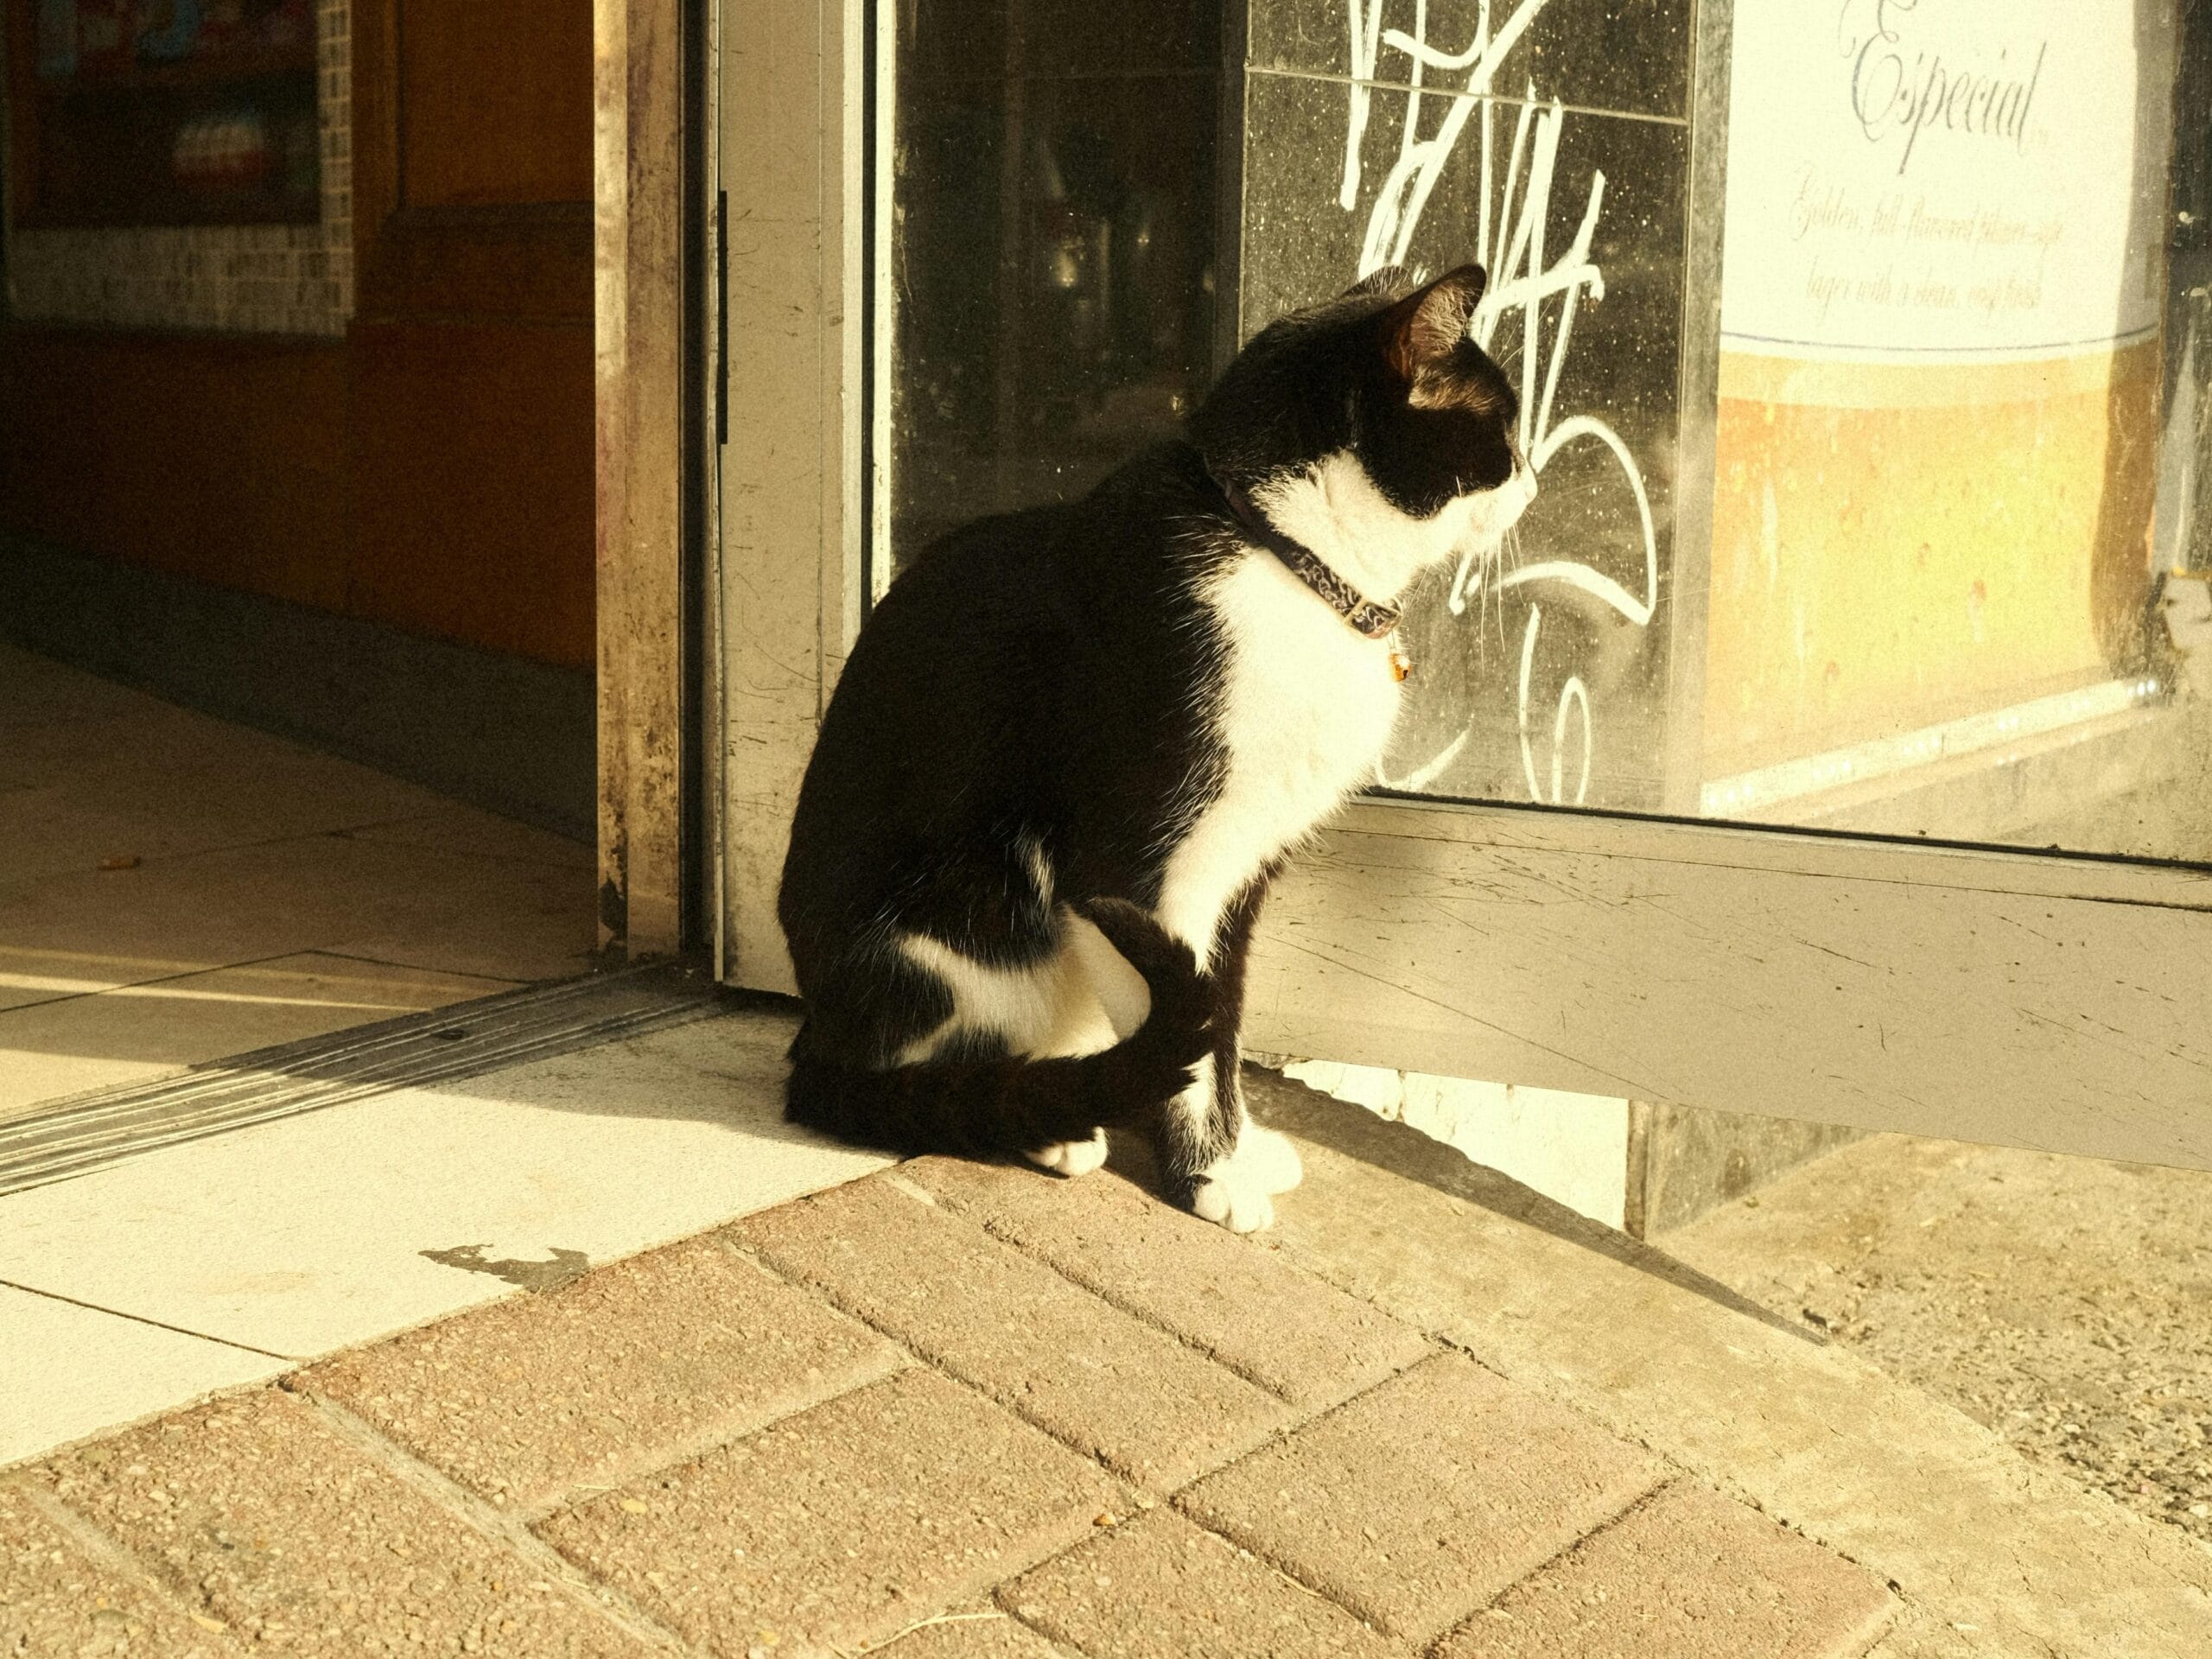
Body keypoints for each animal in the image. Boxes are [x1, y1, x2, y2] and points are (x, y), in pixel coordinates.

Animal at [778, 262, 1535, 1231]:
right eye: (1501, 429)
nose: (1533, 478)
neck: (1285, 558)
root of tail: (817, 1029)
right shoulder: (1130, 864)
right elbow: (1186, 1027)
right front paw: (1211, 1176)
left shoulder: (1244, 868)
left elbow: (1224, 1014)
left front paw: (1242, 1148)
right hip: (953, 939)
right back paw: (1037, 1120)